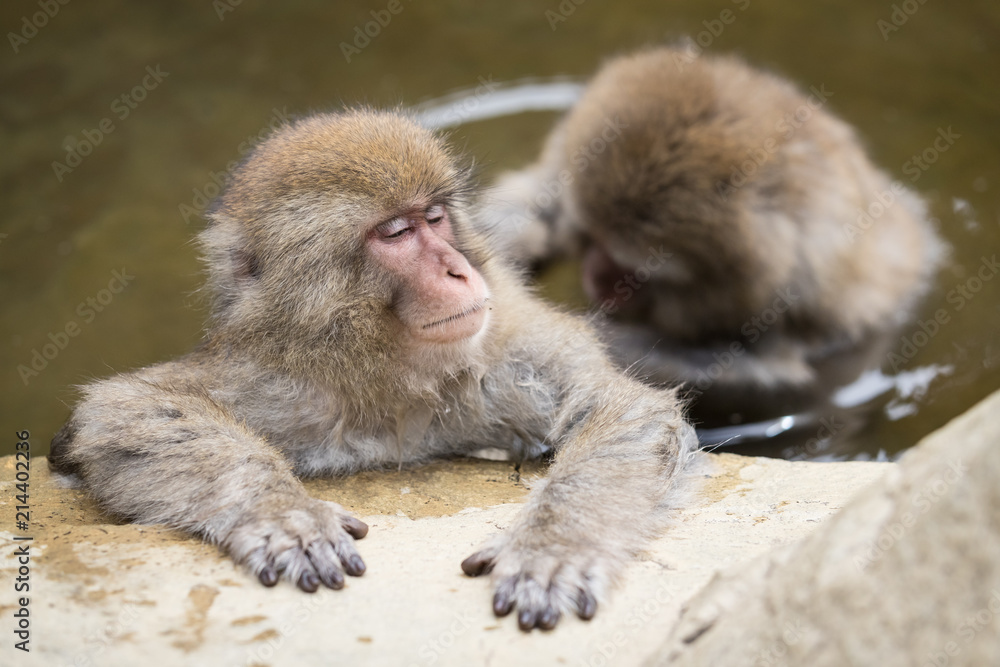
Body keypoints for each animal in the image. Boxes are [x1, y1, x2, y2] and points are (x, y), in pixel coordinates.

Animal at [48, 108, 696, 632]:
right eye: (397, 232)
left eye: (435, 217)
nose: (458, 269)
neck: (389, 373)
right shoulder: (277, 374)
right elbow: (123, 413)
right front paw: (284, 516)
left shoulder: (513, 354)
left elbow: (625, 413)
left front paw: (552, 548)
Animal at [480, 49, 948, 430]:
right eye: (588, 236)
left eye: (632, 269)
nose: (594, 278)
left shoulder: (808, 307)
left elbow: (771, 379)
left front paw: (585, 339)